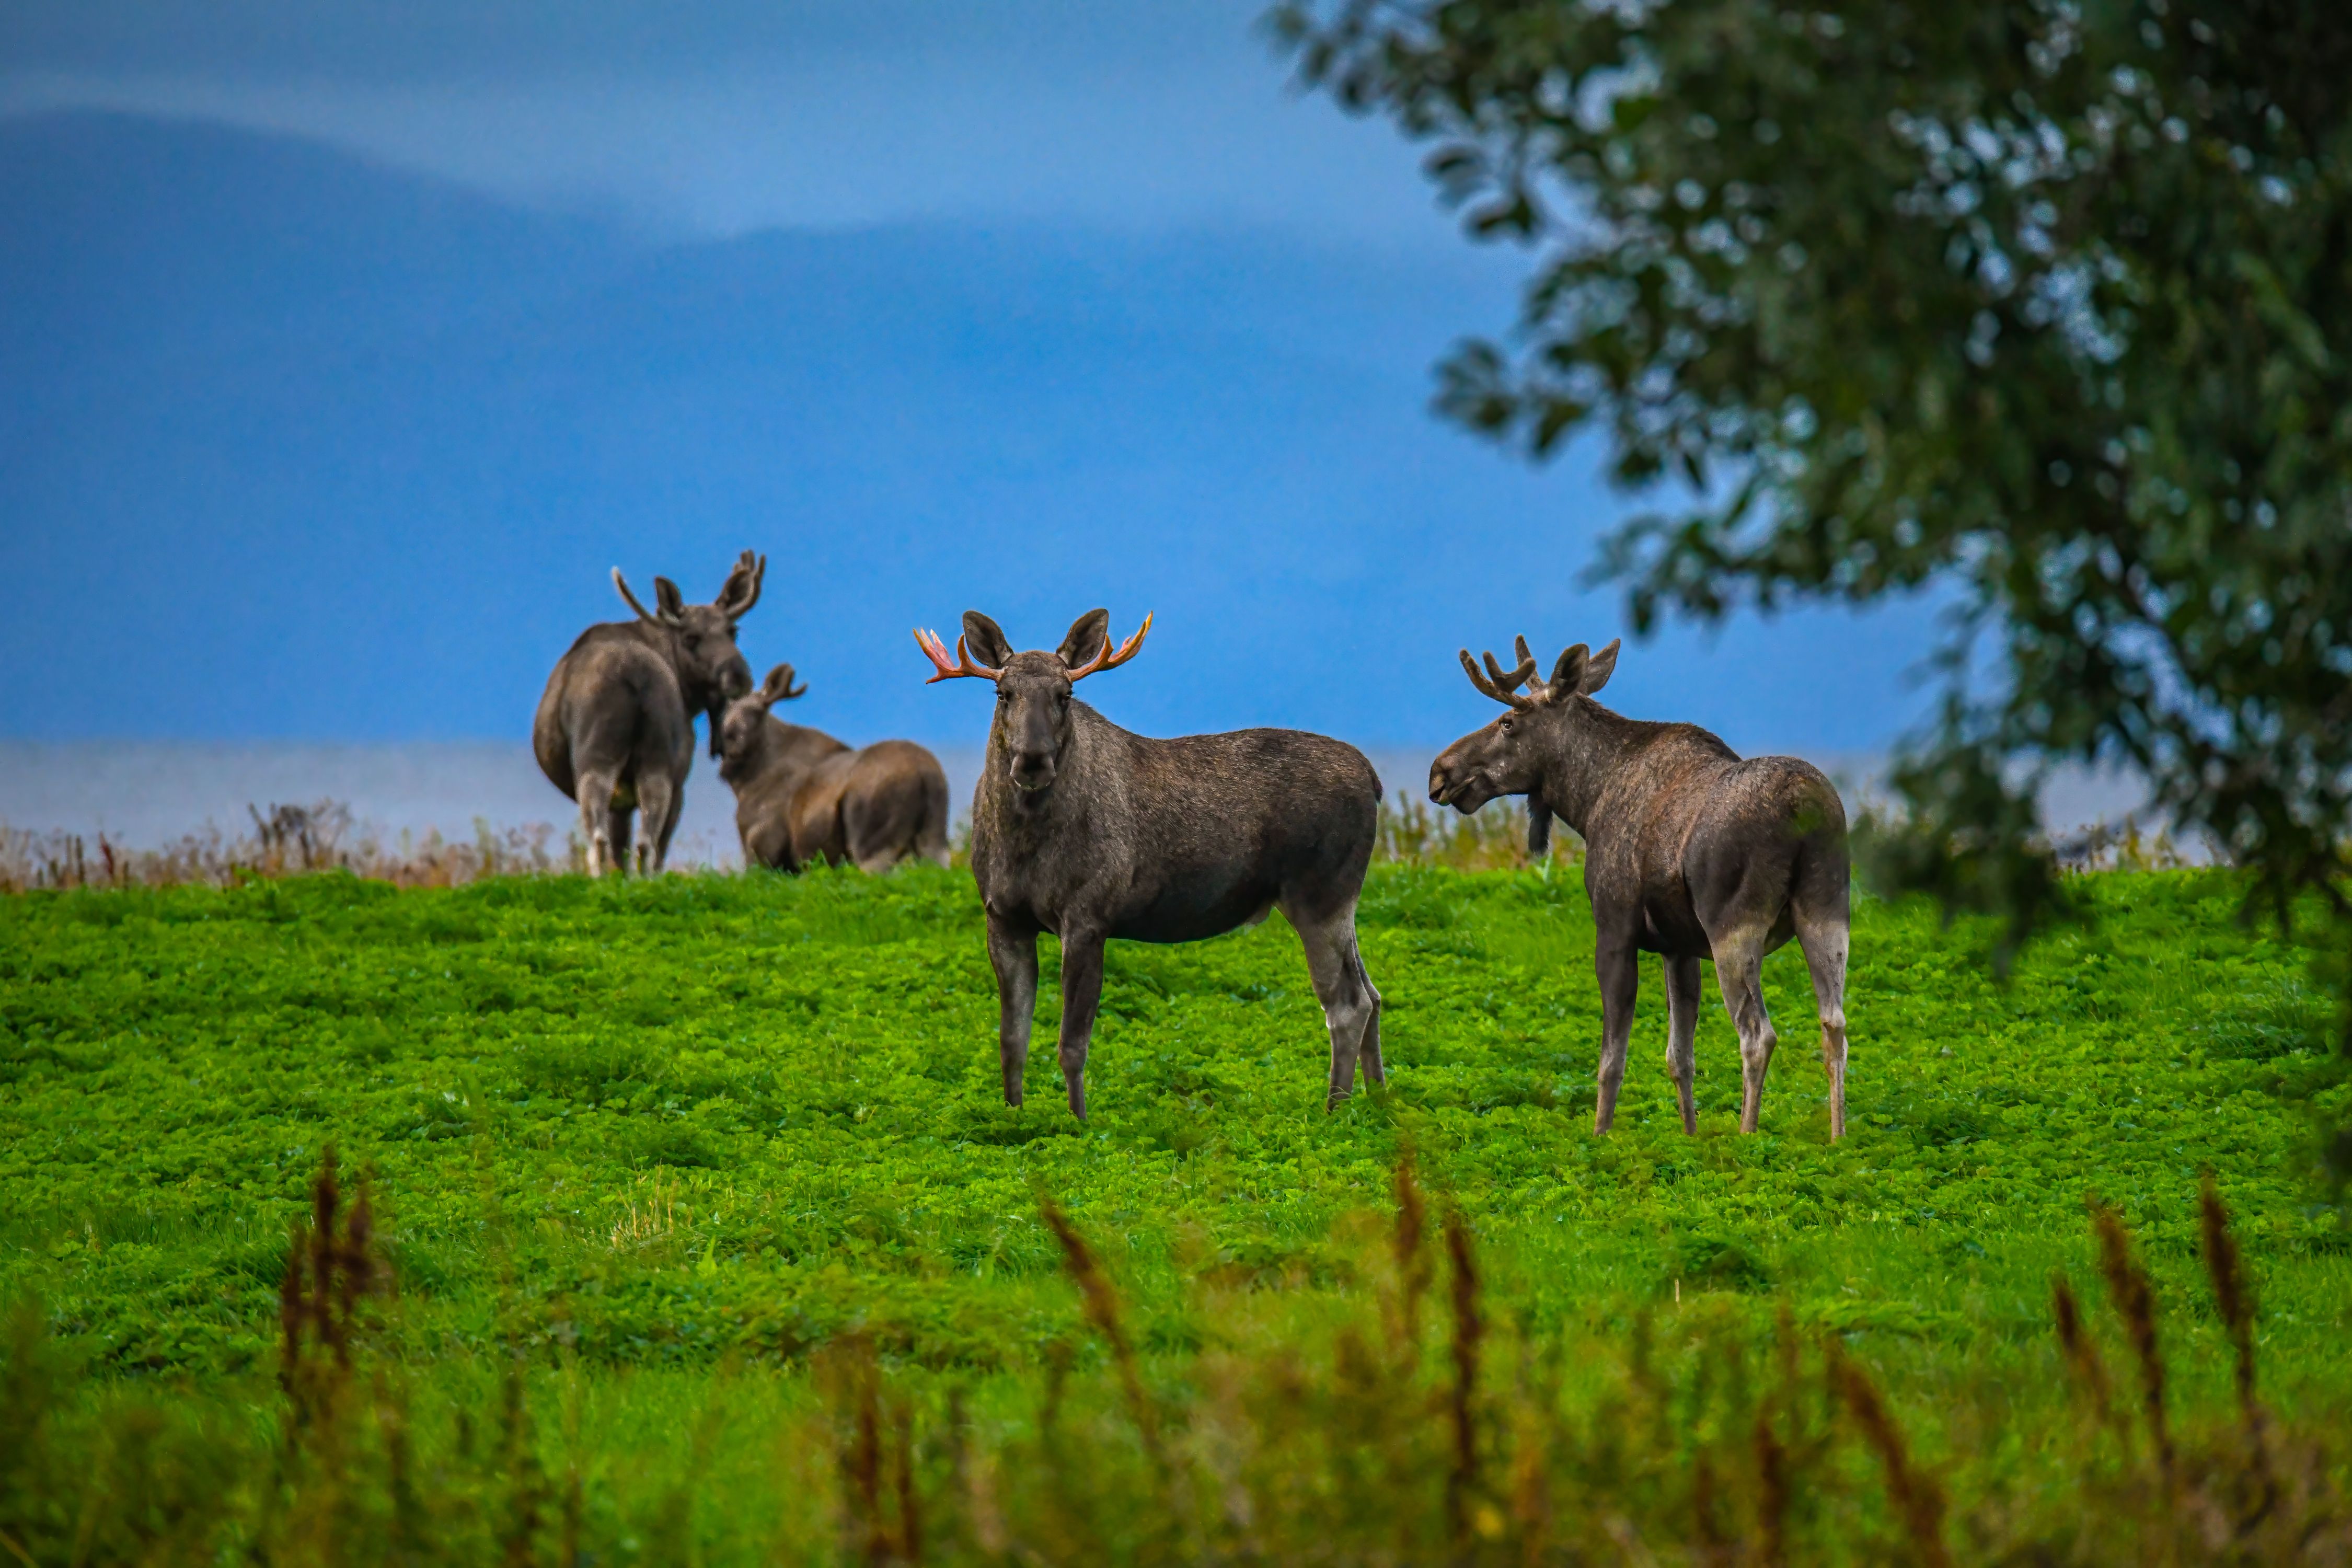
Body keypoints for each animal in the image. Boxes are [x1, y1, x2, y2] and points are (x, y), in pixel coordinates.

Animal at [532, 551, 764, 876]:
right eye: (690, 637)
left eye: (734, 631)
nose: (739, 676)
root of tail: (634, 674)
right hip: (653, 761)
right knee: (643, 842)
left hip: (603, 756)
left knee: (615, 838)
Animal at [717, 662, 952, 873]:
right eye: (727, 712)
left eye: (756, 711)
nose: (731, 737)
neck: (747, 782)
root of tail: (925, 776)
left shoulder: (762, 849)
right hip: (934, 840)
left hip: (873, 846)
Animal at [915, 608, 1385, 1118]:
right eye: (1004, 693)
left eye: (1066, 695)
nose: (1033, 760)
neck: (1022, 840)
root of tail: (1374, 779)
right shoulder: (1002, 917)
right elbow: (1011, 1041)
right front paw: (1013, 1117)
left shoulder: (1087, 918)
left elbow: (1071, 1044)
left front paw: (1079, 1122)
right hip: (1337, 904)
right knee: (1374, 995)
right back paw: (1381, 1102)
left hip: (1320, 895)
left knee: (1348, 1004)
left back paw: (1334, 1112)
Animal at [1429, 635, 1852, 1139]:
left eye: (1507, 721)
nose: (1439, 772)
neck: (1587, 801)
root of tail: (1803, 806)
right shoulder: (1679, 947)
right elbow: (1680, 1058)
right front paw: (1690, 1136)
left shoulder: (1615, 930)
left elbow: (1611, 1061)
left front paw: (1601, 1136)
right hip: (1827, 913)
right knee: (1835, 1025)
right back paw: (1837, 1139)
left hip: (1733, 927)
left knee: (1758, 1035)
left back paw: (1747, 1137)